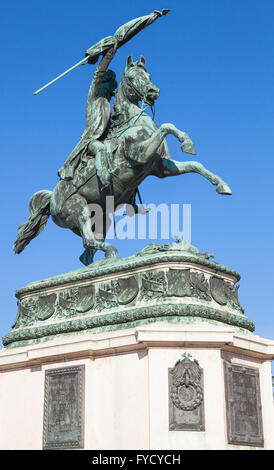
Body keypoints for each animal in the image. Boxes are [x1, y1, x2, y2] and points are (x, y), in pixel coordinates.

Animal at [12, 53, 231, 266]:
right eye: (132, 77)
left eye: (148, 75)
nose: (153, 92)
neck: (132, 122)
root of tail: (51, 200)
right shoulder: (141, 154)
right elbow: (166, 127)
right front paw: (186, 142)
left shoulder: (160, 168)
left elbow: (195, 164)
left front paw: (222, 185)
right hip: (78, 209)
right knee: (88, 240)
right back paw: (117, 254)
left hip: (101, 219)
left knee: (87, 253)